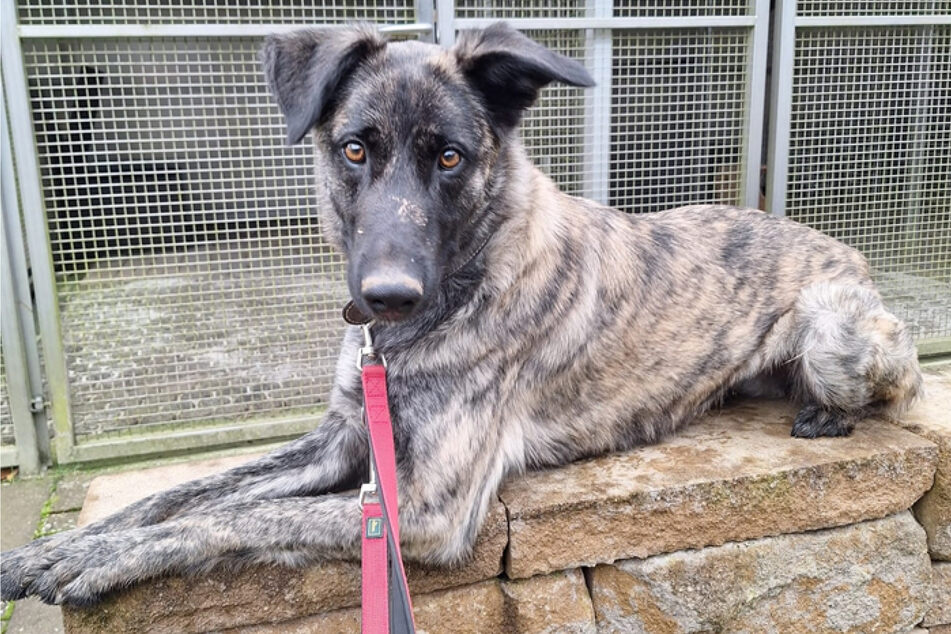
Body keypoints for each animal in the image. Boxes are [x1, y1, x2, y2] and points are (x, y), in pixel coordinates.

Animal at [0, 24, 924, 604]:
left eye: (450, 157)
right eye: (354, 148)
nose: (386, 297)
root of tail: (841, 248)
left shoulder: (423, 508)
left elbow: (239, 516)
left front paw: (101, 562)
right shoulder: (342, 438)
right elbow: (188, 493)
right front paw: (62, 546)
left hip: (838, 327)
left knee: (889, 390)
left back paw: (824, 414)